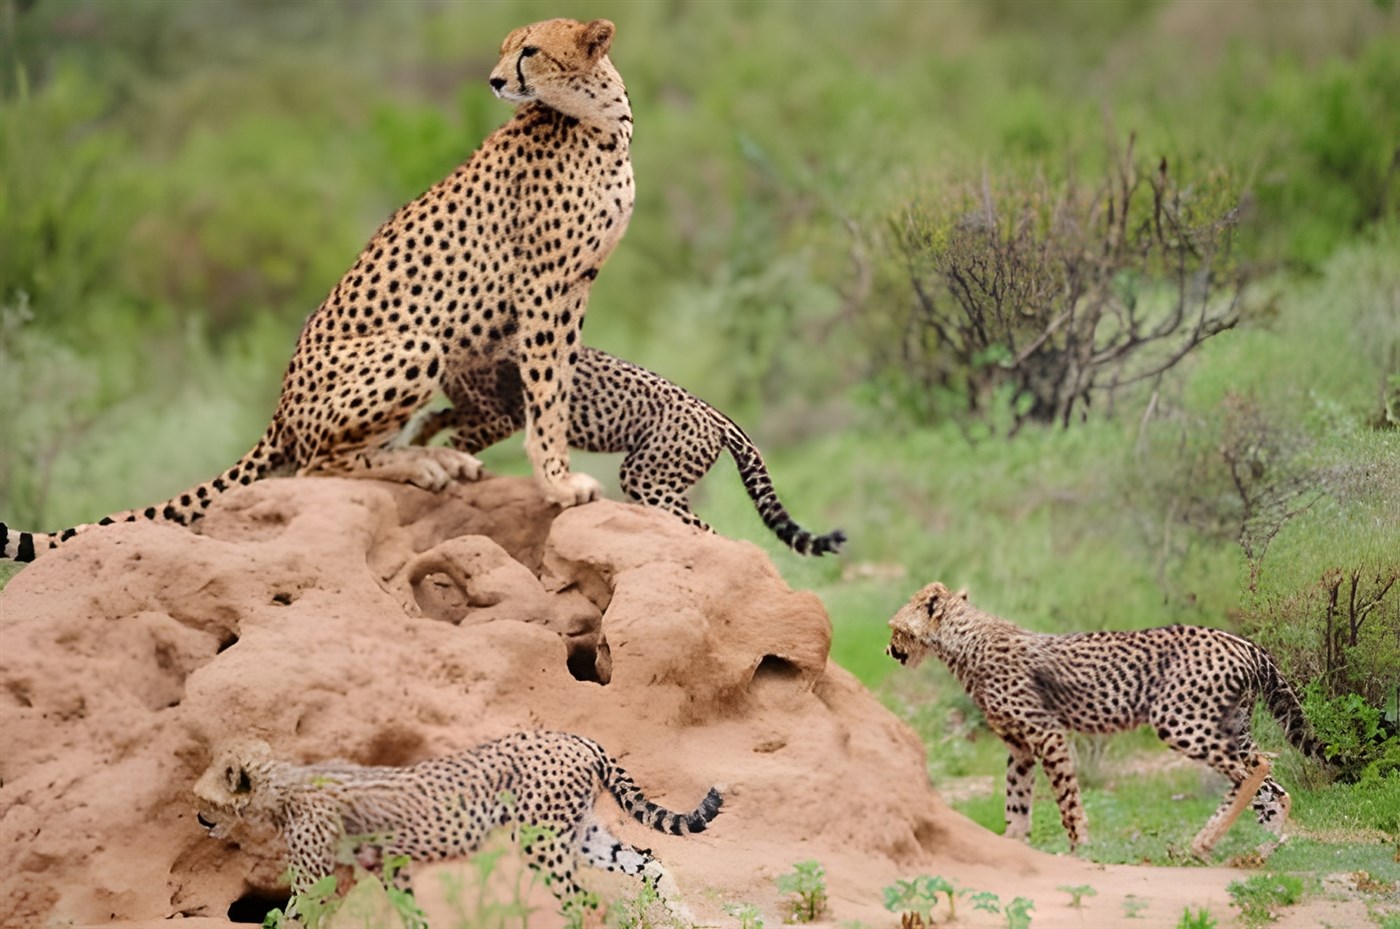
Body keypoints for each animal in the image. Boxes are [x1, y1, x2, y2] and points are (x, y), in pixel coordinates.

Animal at [1, 17, 632, 564]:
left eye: (530, 51)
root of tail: (281, 406)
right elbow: (546, 391)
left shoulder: (575, 286)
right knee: (313, 464)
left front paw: (554, 473)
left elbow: (559, 382)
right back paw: (419, 465)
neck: (600, 121)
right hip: (414, 346)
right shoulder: (544, 288)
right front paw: (558, 482)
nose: (497, 81)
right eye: (506, 50)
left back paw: (431, 457)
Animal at [193, 730, 722, 914]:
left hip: (542, 842)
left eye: (202, 795)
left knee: (581, 899)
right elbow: (409, 912)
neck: (281, 787)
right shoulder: (389, 865)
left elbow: (297, 915)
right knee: (647, 863)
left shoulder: (314, 880)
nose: (198, 817)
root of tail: (576, 737)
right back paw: (680, 917)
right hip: (576, 833)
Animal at [406, 346, 847, 555]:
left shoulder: (500, 417)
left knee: (704, 528)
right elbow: (440, 418)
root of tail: (714, 413)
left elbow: (458, 442)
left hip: (646, 473)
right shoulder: (475, 410)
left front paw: (444, 462)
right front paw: (420, 442)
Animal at [885, 581, 1326, 857]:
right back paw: (1261, 848)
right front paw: (1012, 844)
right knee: (1269, 779)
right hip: (1232, 727)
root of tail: (1243, 641)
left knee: (1251, 772)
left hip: (1179, 720)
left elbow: (1066, 798)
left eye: (895, 628)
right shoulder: (1020, 746)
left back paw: (1203, 843)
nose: (889, 651)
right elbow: (1017, 799)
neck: (963, 642)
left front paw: (1079, 846)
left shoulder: (1047, 733)